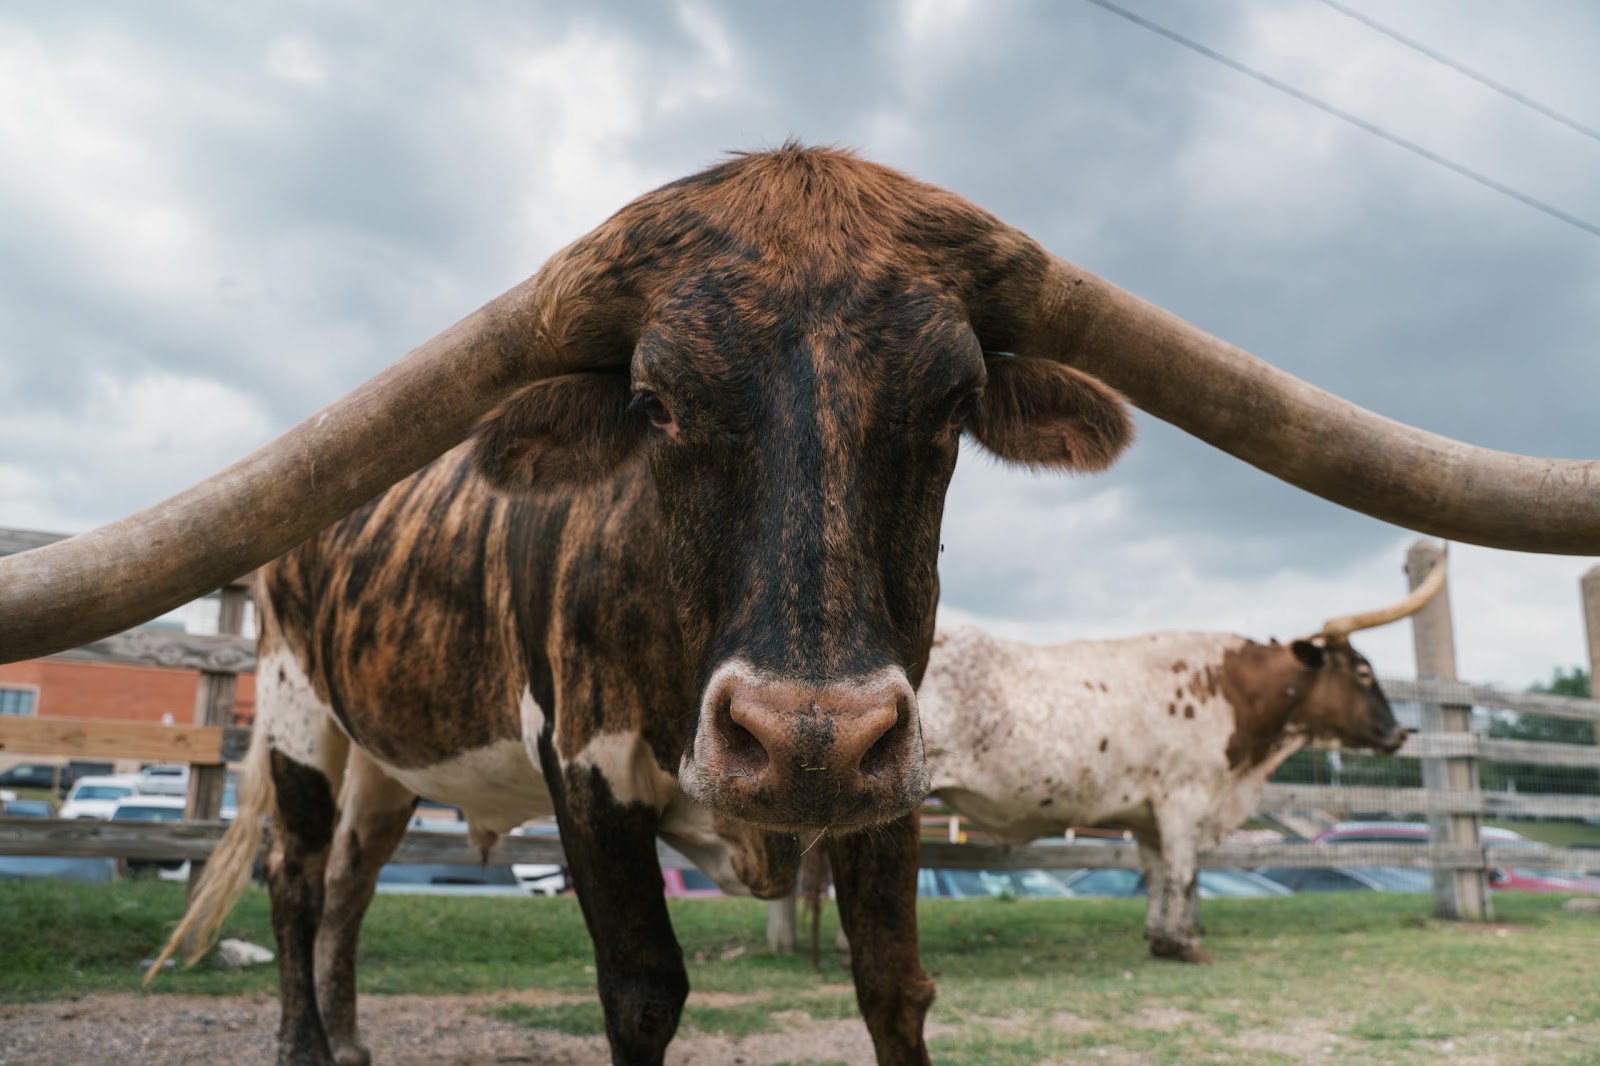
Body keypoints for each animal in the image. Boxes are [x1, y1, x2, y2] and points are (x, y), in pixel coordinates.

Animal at [917, 563, 1442, 963]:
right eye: (1363, 671)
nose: (1399, 733)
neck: (1230, 689)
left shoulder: (1145, 813)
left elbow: (1156, 876)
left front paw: (1157, 937)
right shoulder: (1184, 799)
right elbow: (1183, 874)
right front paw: (1183, 943)